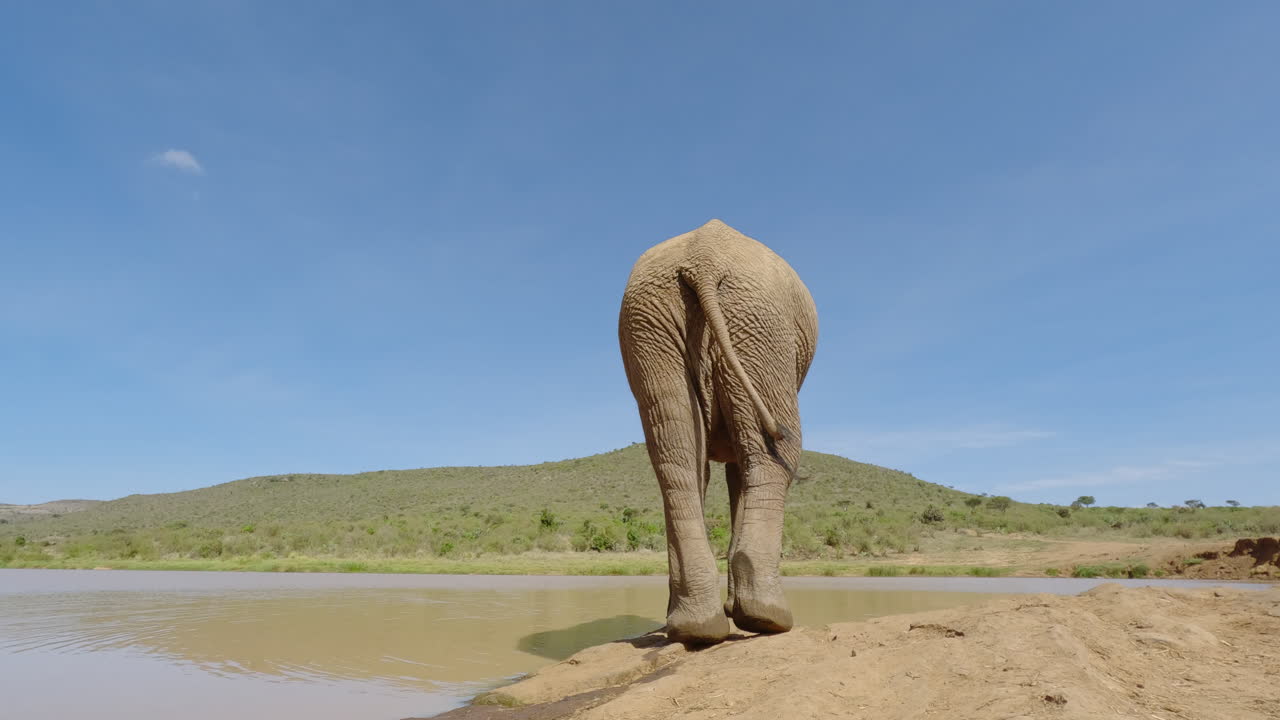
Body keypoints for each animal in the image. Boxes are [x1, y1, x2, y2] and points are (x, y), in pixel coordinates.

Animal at [618, 219, 818, 644]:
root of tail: (704, 255)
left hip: (652, 321)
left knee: (675, 458)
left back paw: (695, 628)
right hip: (761, 322)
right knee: (775, 452)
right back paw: (768, 618)